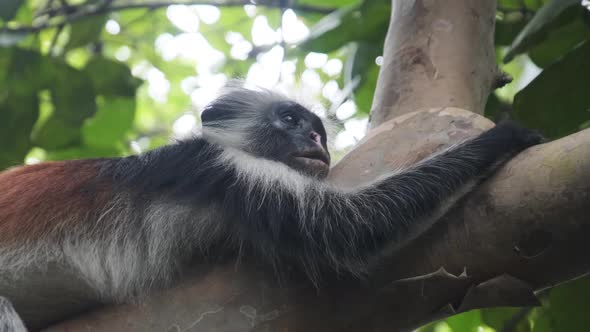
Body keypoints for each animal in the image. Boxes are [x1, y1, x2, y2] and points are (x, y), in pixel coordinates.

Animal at [0, 85, 544, 330]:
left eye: (317, 130)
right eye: (289, 120)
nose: (316, 142)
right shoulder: (224, 168)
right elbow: (349, 228)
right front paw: (505, 136)